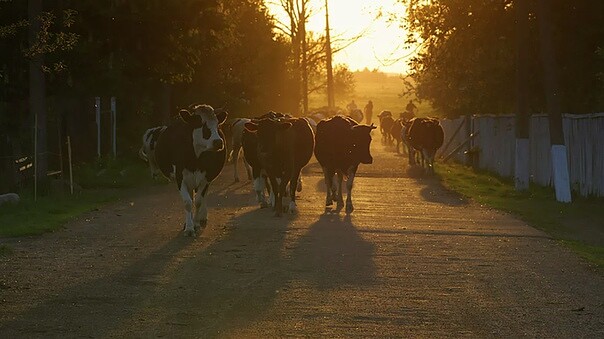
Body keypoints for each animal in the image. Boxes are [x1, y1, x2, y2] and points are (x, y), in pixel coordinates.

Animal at [155, 103, 230, 236]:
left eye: (217, 125)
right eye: (201, 124)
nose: (218, 142)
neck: (194, 160)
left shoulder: (206, 177)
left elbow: (198, 201)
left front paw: (196, 224)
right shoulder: (180, 177)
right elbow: (187, 202)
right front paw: (189, 227)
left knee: (203, 196)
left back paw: (202, 217)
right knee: (190, 196)